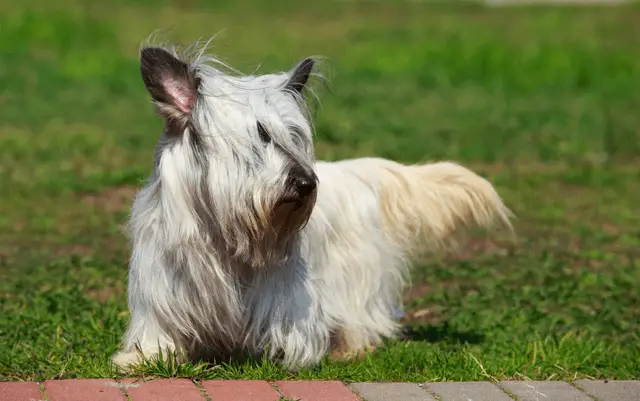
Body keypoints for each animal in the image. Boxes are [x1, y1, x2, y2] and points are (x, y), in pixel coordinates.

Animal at [112, 39, 516, 370]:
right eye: (260, 136)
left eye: (294, 136)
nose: (306, 182)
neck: (223, 235)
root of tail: (355, 172)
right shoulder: (164, 287)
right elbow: (160, 331)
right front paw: (143, 357)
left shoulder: (286, 294)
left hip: (355, 278)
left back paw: (350, 348)